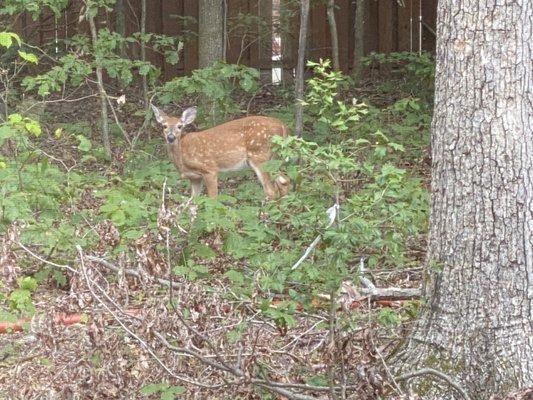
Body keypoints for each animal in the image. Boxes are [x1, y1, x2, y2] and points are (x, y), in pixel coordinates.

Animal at [150, 104, 290, 200]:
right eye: (164, 126)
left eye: (180, 126)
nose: (171, 137)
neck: (182, 157)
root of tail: (282, 125)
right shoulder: (194, 177)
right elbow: (193, 201)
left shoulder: (209, 169)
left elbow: (213, 199)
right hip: (273, 158)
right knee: (284, 180)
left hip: (259, 156)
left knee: (271, 190)